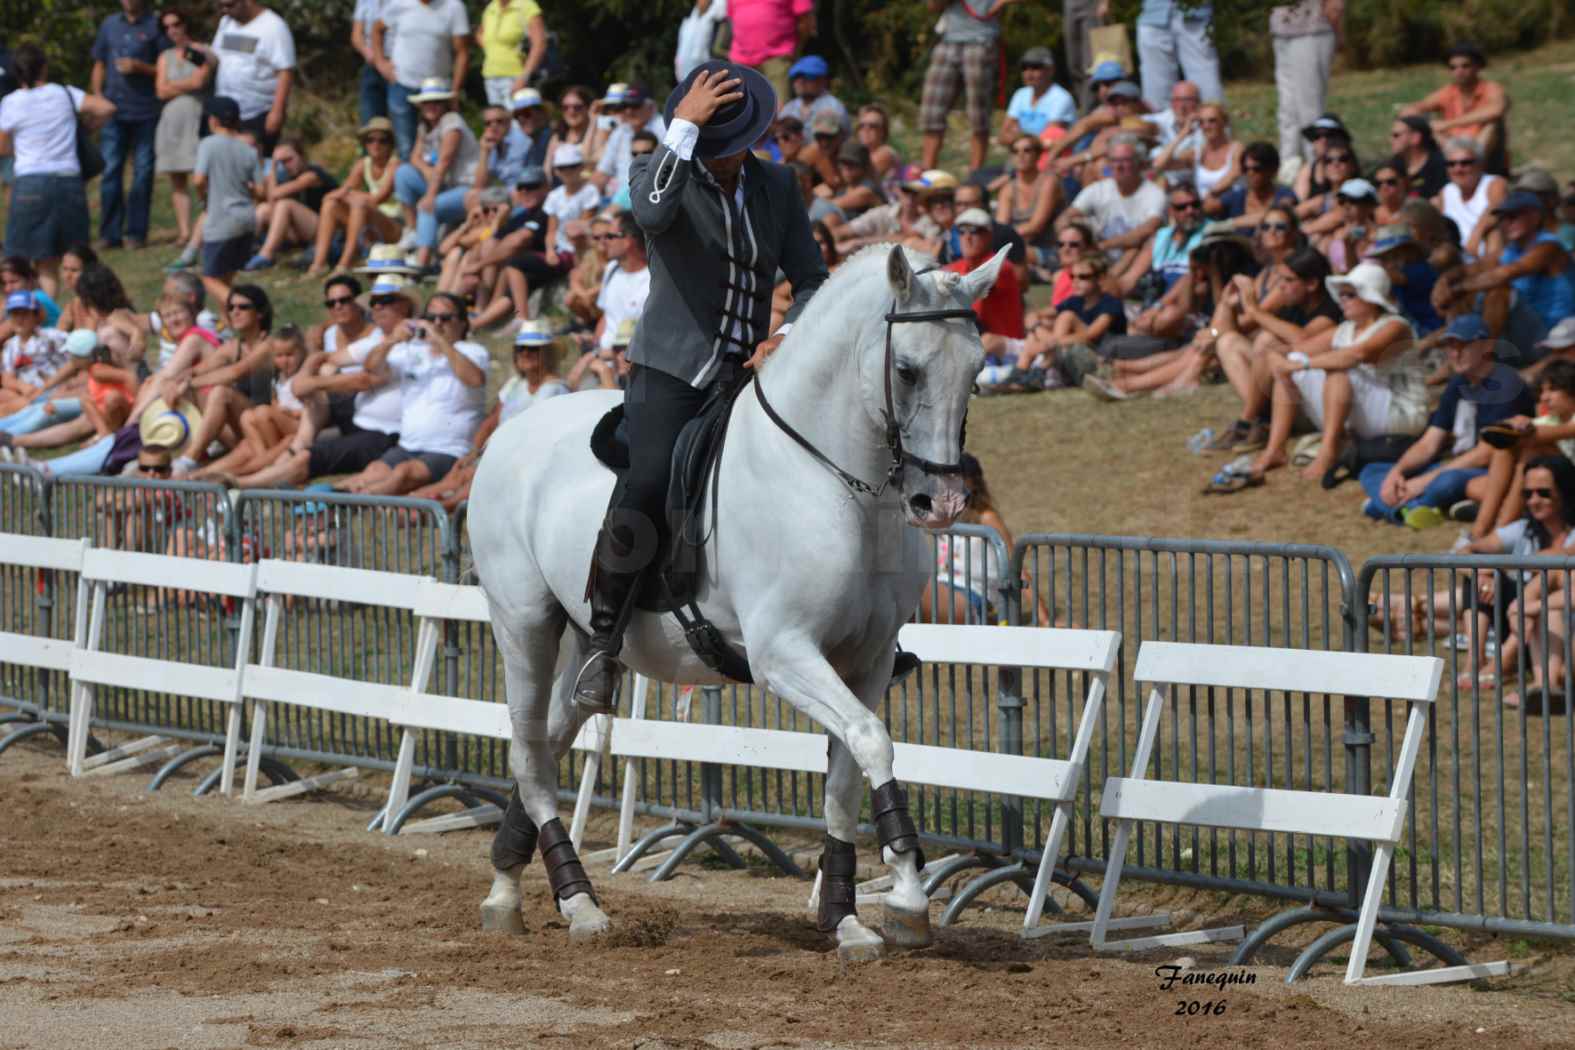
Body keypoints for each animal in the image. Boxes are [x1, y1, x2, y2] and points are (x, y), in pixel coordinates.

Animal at [466, 244, 1008, 963]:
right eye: (907, 369)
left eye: (976, 371)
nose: (940, 503)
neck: (841, 485)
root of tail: (509, 431)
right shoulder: (782, 655)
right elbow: (871, 740)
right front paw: (907, 897)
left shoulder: (864, 663)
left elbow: (847, 775)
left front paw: (846, 917)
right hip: (524, 623)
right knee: (529, 753)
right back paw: (578, 904)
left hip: (585, 640)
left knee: (550, 743)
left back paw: (506, 888)